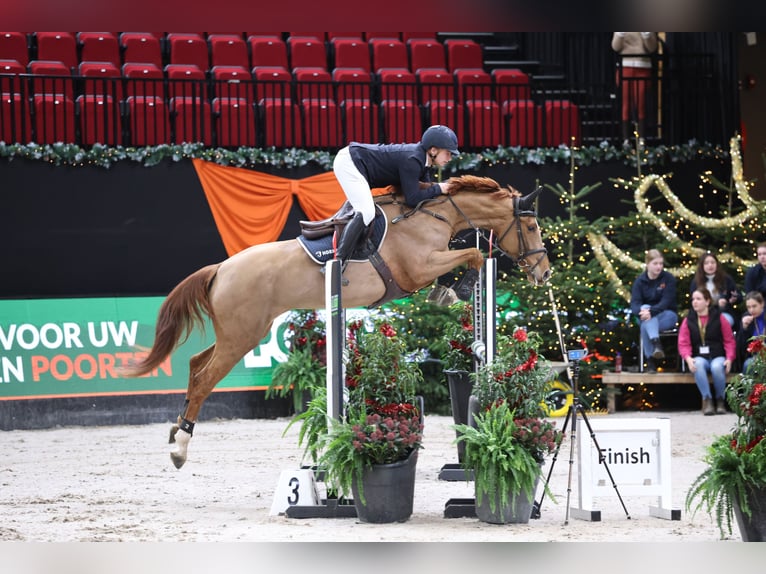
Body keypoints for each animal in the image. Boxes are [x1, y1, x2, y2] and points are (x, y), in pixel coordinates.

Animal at [122, 174, 551, 468]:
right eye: (531, 227)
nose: (544, 273)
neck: (434, 216)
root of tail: (221, 268)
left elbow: (469, 258)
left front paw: (448, 291)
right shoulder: (418, 269)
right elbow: (473, 257)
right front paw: (455, 291)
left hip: (238, 332)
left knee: (197, 365)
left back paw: (176, 430)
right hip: (243, 335)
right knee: (206, 378)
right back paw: (181, 448)